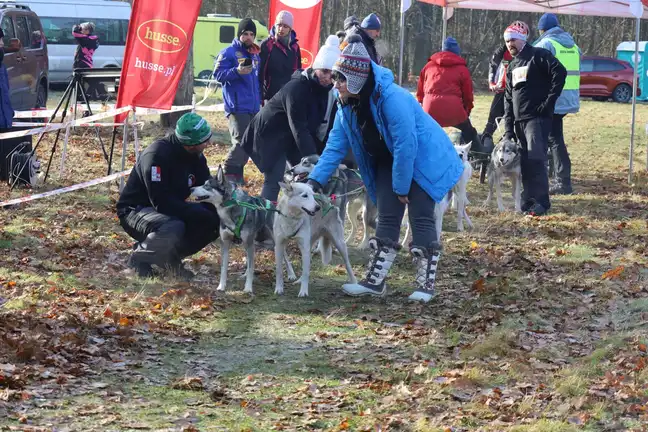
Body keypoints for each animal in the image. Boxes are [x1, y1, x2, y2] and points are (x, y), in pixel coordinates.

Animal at [189, 165, 270, 294]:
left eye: (207, 186)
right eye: (203, 184)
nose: (191, 188)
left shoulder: (248, 243)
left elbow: (251, 267)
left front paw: (248, 288)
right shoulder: (225, 243)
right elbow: (224, 267)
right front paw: (221, 286)